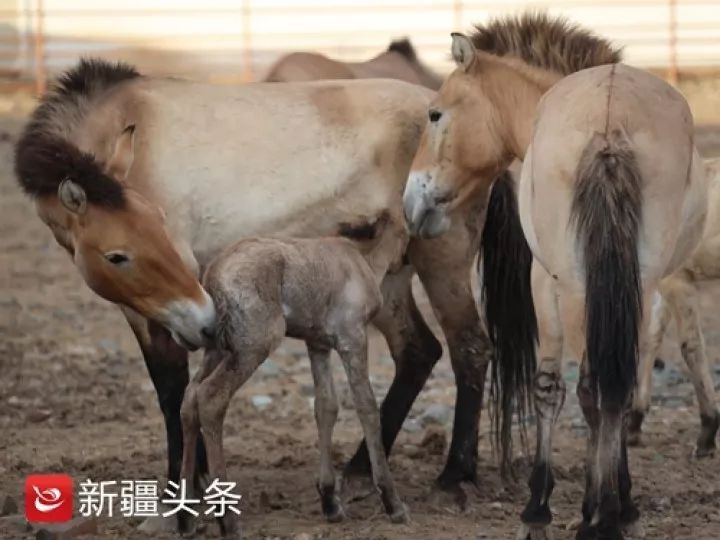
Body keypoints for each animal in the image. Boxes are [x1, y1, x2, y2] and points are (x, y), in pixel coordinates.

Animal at [178, 214, 408, 536]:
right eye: (407, 231)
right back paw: (228, 521)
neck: (360, 258)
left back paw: (185, 517)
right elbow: (367, 408)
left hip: (218, 349)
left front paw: (330, 502)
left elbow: (326, 406)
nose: (405, 260)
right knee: (210, 397)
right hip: (254, 345)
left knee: (190, 398)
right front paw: (392, 502)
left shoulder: (318, 345)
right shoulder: (352, 339)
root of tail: (213, 274)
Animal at [404, 12, 708, 540]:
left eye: (436, 115)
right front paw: (610, 503)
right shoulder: (609, 287)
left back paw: (595, 516)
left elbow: (563, 389)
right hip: (627, 280)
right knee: (609, 382)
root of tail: (609, 122)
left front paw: (555, 505)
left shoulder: (544, 278)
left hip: (577, 284)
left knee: (596, 384)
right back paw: (605, 513)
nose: (411, 202)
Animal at [632, 157, 720, 456]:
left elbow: (690, 347)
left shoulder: (677, 282)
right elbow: (651, 338)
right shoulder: (663, 283)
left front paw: (707, 433)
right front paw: (634, 421)